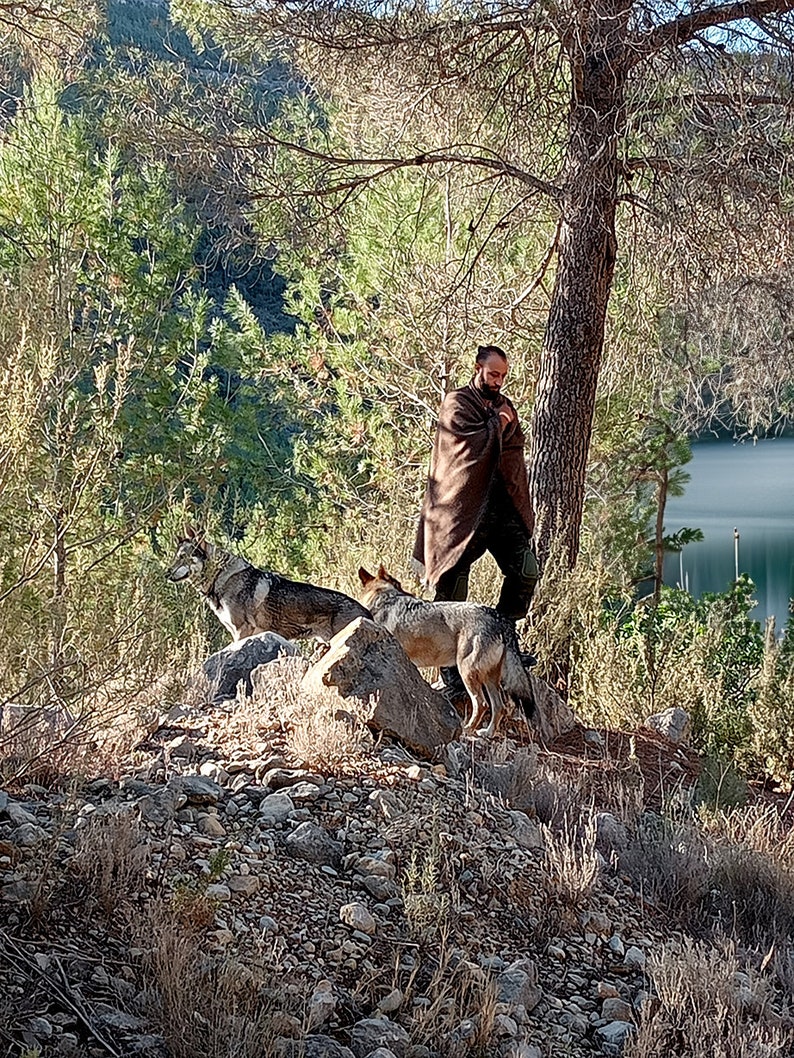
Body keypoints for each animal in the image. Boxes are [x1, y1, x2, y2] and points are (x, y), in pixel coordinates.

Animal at [166, 529, 372, 643]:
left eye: (182, 557)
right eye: (175, 557)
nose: (166, 574)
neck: (220, 578)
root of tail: (366, 612)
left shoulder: (241, 631)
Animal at [359, 562, 535, 736]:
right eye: (400, 585)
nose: (415, 594)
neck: (385, 598)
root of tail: (499, 618)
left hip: (467, 672)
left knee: (482, 704)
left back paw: (467, 730)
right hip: (489, 678)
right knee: (499, 707)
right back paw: (487, 733)